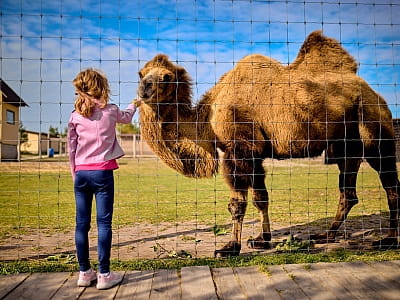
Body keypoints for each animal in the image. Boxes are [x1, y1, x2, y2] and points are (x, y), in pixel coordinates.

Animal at [136, 29, 398, 255]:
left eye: (166, 77)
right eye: (141, 73)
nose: (144, 88)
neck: (207, 117)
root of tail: (375, 93)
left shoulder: (239, 149)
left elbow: (238, 203)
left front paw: (230, 247)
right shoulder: (254, 154)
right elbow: (261, 198)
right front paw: (262, 240)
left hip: (373, 124)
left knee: (390, 185)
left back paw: (388, 240)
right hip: (346, 143)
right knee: (348, 192)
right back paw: (326, 236)